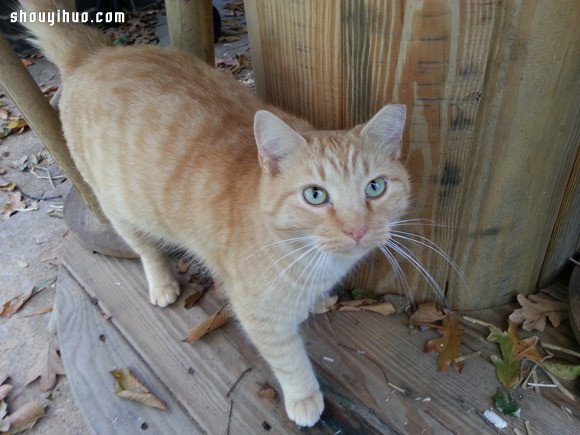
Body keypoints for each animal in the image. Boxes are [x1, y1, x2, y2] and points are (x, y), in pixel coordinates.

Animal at [23, 0, 412, 428]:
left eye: (375, 188)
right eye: (315, 195)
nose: (357, 230)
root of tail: (96, 52)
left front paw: (317, 301)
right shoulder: (259, 315)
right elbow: (288, 358)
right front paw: (304, 397)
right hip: (118, 209)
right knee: (145, 249)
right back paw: (162, 283)